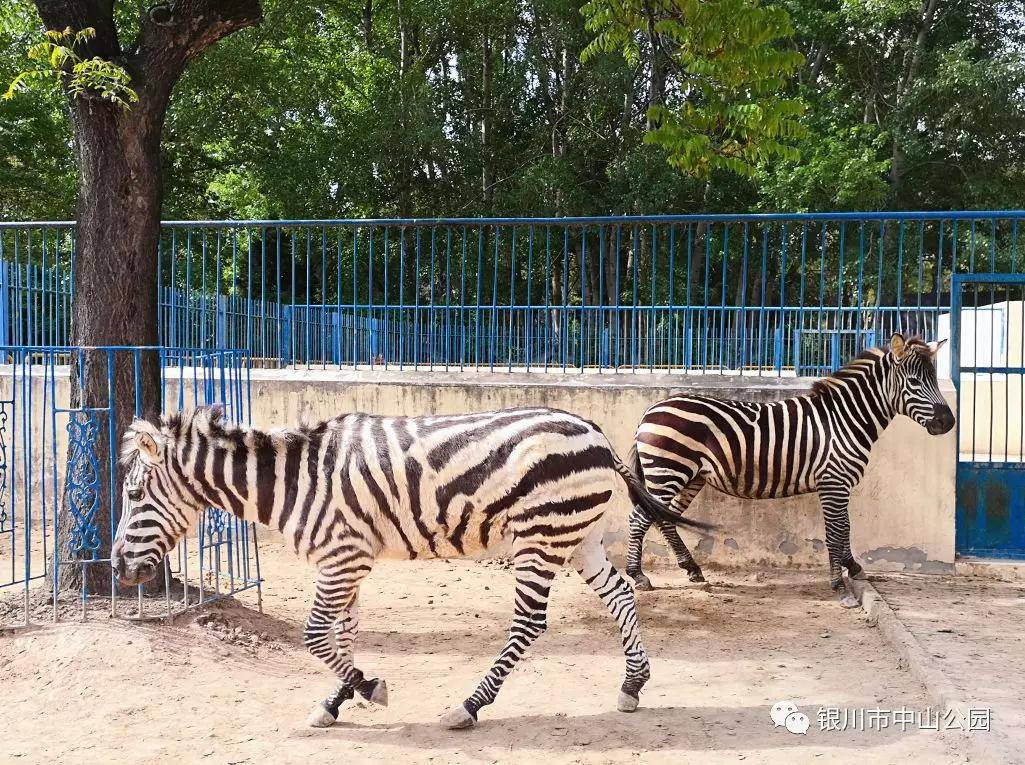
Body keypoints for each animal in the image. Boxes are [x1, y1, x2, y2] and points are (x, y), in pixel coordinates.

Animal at [110, 401, 705, 726]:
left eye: (135, 495)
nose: (117, 569)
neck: (296, 482)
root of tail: (595, 430)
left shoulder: (344, 557)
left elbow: (316, 634)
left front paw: (367, 688)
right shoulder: (344, 559)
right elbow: (342, 633)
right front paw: (338, 699)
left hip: (541, 535)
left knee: (530, 623)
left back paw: (470, 706)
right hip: (578, 535)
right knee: (620, 595)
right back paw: (633, 685)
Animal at [623, 330, 951, 602]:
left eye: (935, 380)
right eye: (914, 382)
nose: (948, 422)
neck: (846, 419)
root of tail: (651, 410)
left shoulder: (840, 483)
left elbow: (845, 527)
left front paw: (853, 567)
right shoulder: (834, 482)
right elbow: (835, 531)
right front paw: (840, 586)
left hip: (690, 476)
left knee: (664, 518)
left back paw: (691, 568)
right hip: (668, 472)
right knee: (641, 518)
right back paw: (638, 576)